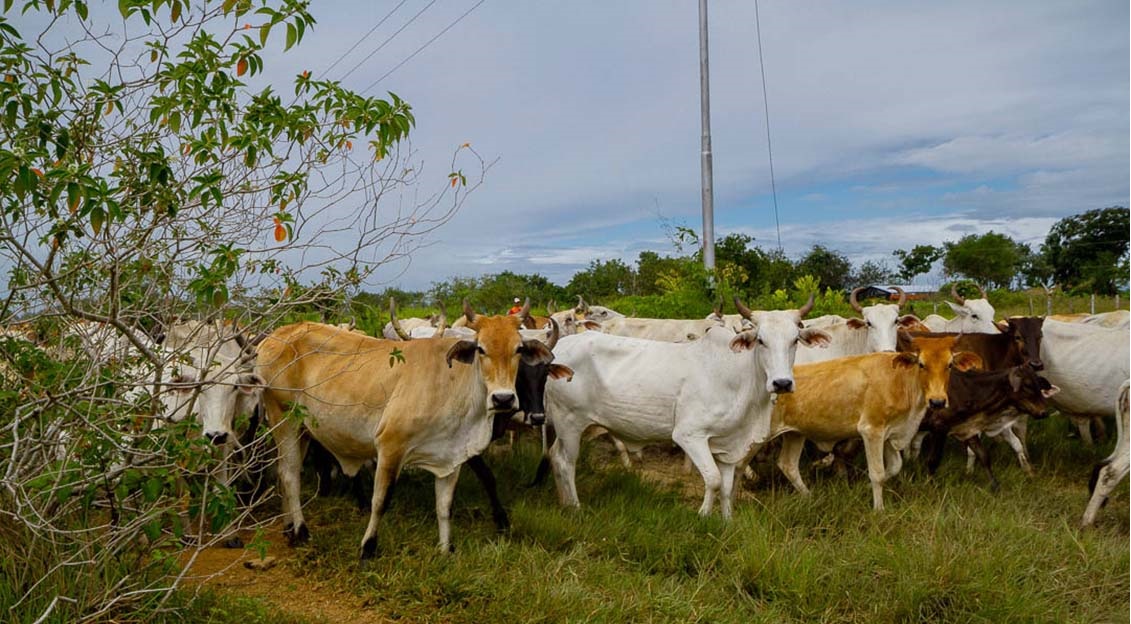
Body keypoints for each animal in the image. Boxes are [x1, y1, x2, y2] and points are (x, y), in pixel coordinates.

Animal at [257, 300, 556, 558]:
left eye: (519, 349)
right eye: (480, 348)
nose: (503, 399)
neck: (453, 382)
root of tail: (275, 336)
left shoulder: (452, 456)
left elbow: (444, 506)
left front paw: (445, 549)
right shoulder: (390, 446)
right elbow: (381, 500)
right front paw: (368, 548)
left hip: (303, 430)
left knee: (285, 471)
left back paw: (288, 527)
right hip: (283, 418)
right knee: (289, 474)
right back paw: (300, 530)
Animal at [769, 336, 981, 510]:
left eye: (950, 365)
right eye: (921, 364)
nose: (937, 401)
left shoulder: (890, 434)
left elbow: (894, 467)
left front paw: (864, 486)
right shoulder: (872, 431)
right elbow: (877, 473)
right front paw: (879, 509)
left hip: (795, 434)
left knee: (788, 465)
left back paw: (808, 495)